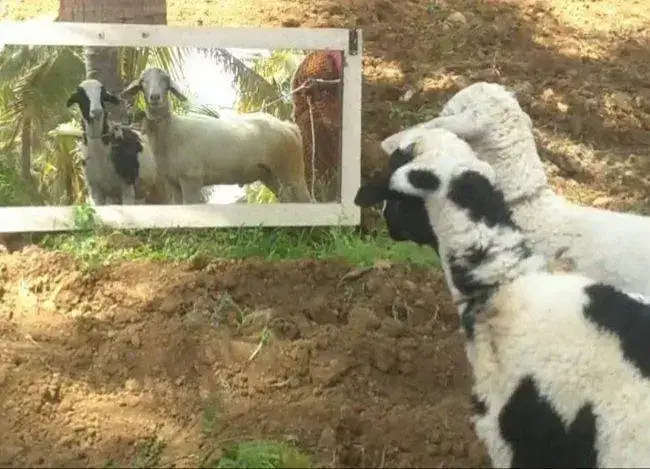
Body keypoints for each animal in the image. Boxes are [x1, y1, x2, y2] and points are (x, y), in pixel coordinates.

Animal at [120, 67, 312, 204]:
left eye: (165, 81)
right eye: (143, 82)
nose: (155, 97)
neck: (172, 131)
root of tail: (288, 126)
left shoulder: (191, 179)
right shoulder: (173, 183)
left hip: (291, 170)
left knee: (305, 199)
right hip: (269, 174)